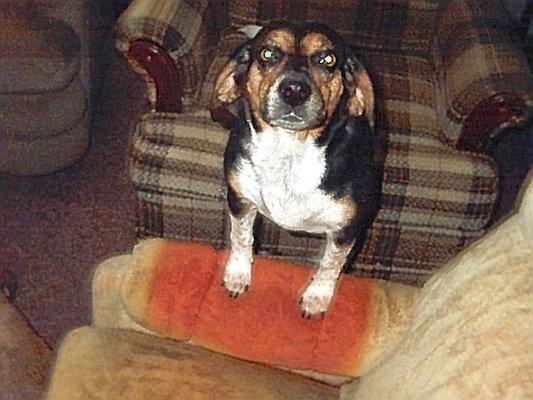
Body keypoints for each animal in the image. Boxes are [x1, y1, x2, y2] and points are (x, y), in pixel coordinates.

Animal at [210, 21, 380, 318]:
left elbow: (330, 264)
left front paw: (317, 297)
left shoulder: (346, 230)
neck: (289, 152)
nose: (295, 90)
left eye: (328, 59)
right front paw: (238, 274)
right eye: (268, 53)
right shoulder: (240, 200)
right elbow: (241, 237)